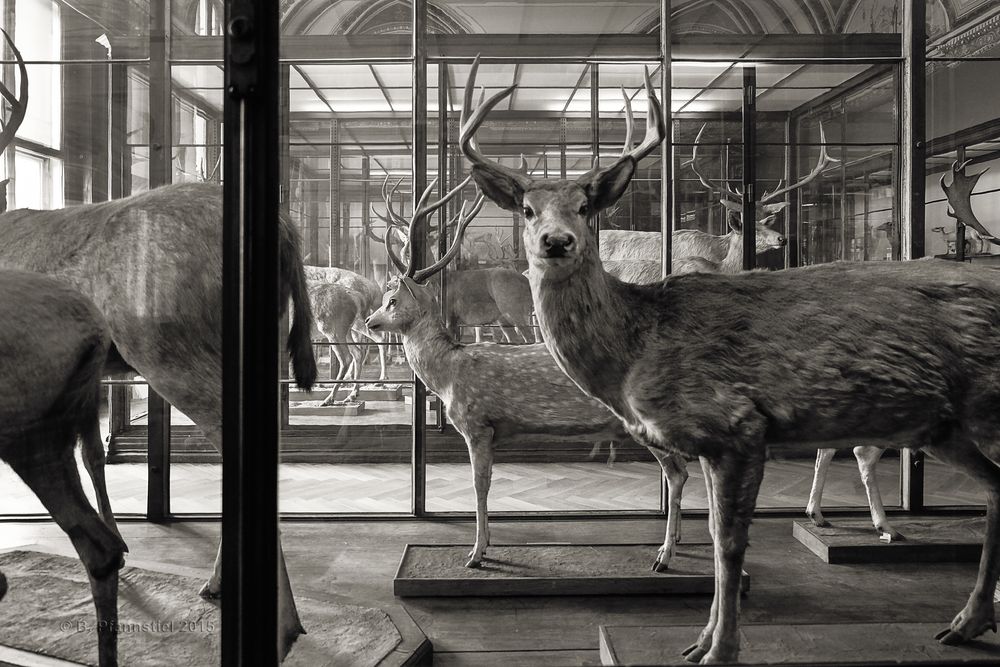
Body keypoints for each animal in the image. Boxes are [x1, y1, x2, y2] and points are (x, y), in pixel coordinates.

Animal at [365, 174, 700, 571]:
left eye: (392, 301)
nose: (369, 322)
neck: (447, 375)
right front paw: (484, 545)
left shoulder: (477, 424)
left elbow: (480, 485)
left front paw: (476, 553)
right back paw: (678, 542)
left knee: (679, 471)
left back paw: (664, 555)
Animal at [462, 56, 1000, 664]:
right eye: (528, 209)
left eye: (584, 207)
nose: (556, 241)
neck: (639, 344)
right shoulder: (707, 439)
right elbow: (719, 532)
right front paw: (699, 640)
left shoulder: (739, 424)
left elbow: (730, 542)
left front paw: (719, 648)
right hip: (945, 426)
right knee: (996, 487)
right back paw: (966, 621)